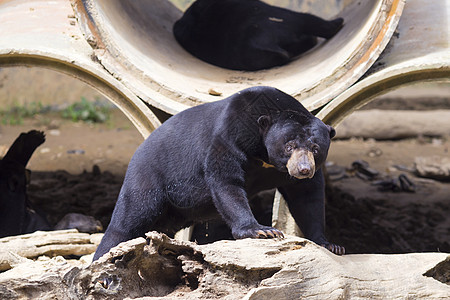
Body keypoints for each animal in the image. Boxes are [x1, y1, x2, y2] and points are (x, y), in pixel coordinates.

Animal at [92, 86, 344, 260]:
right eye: (289, 146)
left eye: (315, 148)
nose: (303, 169)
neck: (264, 155)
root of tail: (137, 152)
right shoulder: (230, 136)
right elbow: (226, 182)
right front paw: (263, 231)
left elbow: (307, 197)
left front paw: (331, 245)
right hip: (149, 177)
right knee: (128, 221)